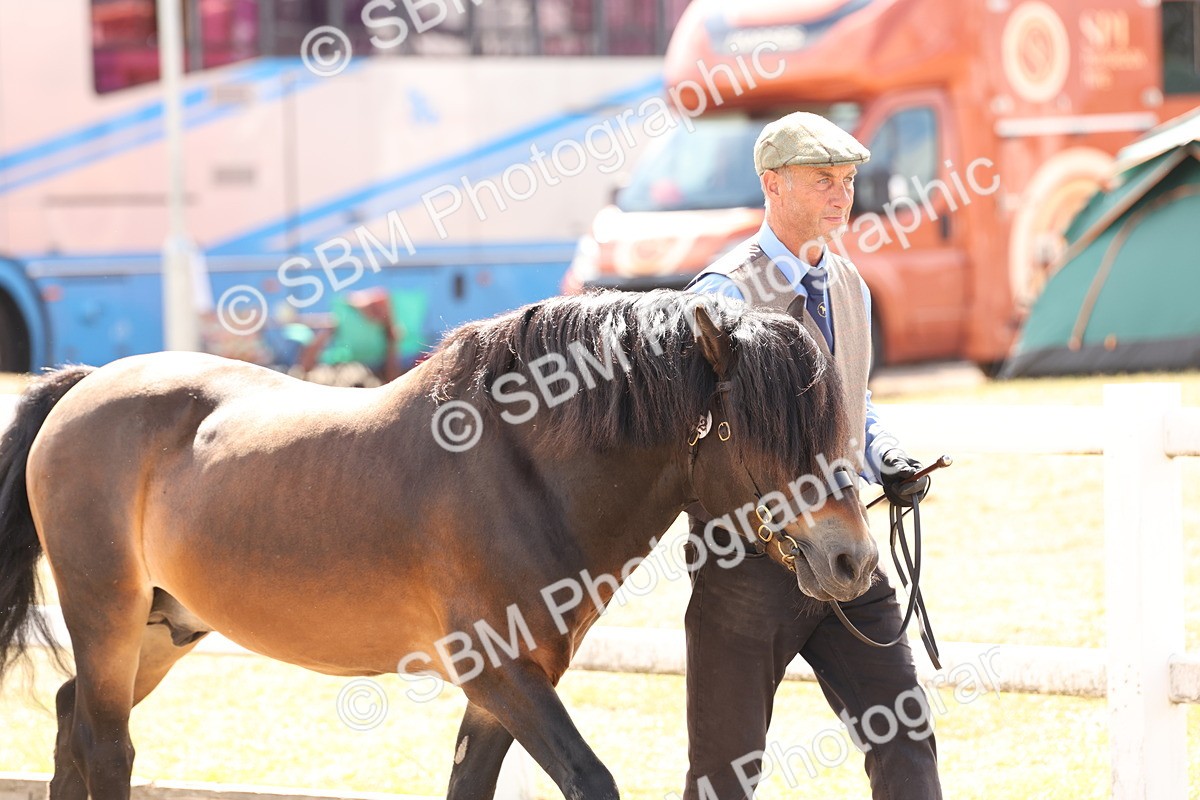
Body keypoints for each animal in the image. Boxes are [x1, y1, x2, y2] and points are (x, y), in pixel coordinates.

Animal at [0, 289, 877, 800]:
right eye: (759, 434)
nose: (853, 560)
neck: (521, 471)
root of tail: (83, 386)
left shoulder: (507, 689)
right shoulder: (500, 673)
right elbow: (591, 780)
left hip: (164, 628)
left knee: (74, 722)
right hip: (107, 617)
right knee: (107, 746)